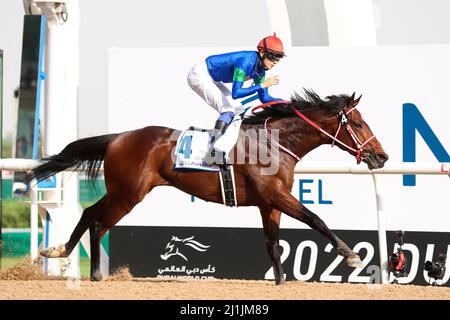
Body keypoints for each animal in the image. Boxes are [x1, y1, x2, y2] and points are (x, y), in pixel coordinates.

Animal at [27, 89, 386, 284]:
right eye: (357, 123)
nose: (381, 156)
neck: (274, 143)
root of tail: (118, 137)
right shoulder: (277, 196)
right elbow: (316, 219)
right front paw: (351, 255)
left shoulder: (268, 203)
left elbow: (273, 244)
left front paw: (281, 282)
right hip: (129, 195)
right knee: (99, 222)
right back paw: (91, 272)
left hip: (122, 191)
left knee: (90, 212)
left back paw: (62, 252)